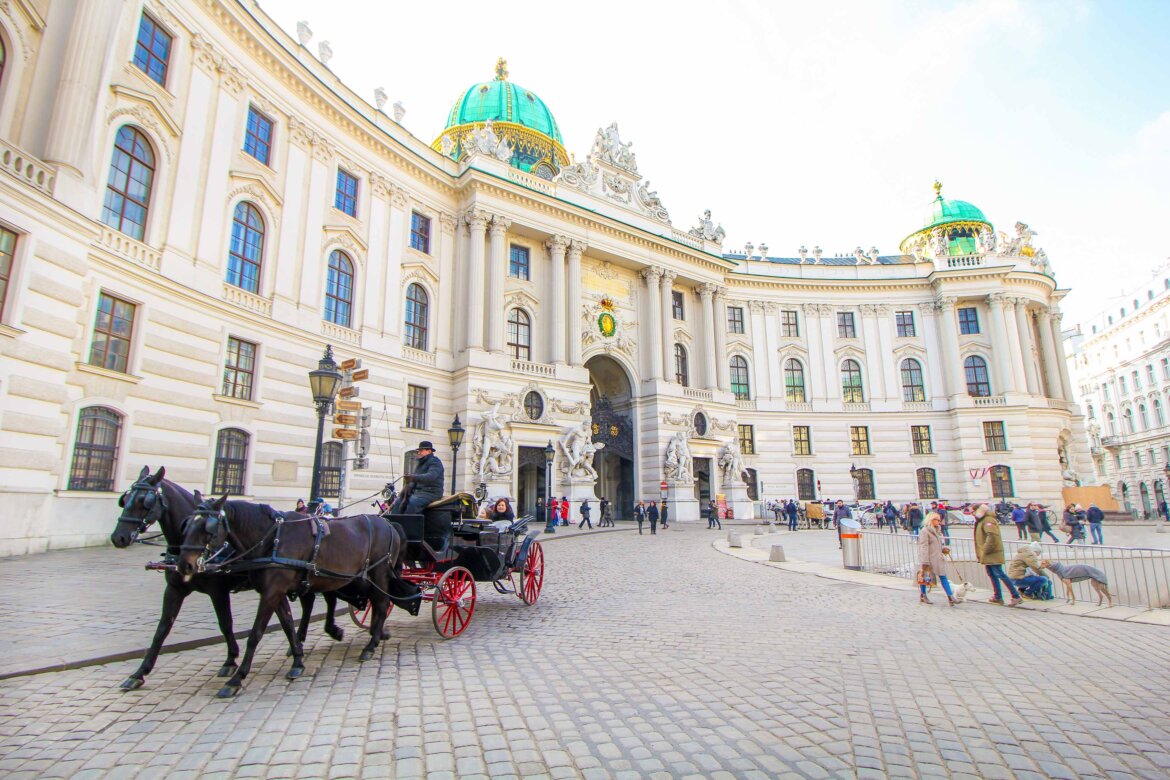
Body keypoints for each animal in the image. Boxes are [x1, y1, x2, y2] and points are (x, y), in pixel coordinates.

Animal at [109, 463, 341, 687]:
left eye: (145, 501)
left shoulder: (218, 590)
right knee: (311, 603)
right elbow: (162, 629)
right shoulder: (175, 589)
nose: (118, 537)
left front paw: (231, 661)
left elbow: (226, 623)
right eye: (125, 500)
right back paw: (304, 639)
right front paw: (139, 673)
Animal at [176, 491, 407, 696]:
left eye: (208, 528)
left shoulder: (272, 592)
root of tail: (389, 525)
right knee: (377, 603)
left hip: (379, 573)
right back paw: (376, 635)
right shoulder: (276, 592)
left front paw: (236, 679)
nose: (183, 565)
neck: (272, 540)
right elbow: (288, 625)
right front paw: (297, 660)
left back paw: (371, 645)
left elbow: (255, 634)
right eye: (187, 525)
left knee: (381, 603)